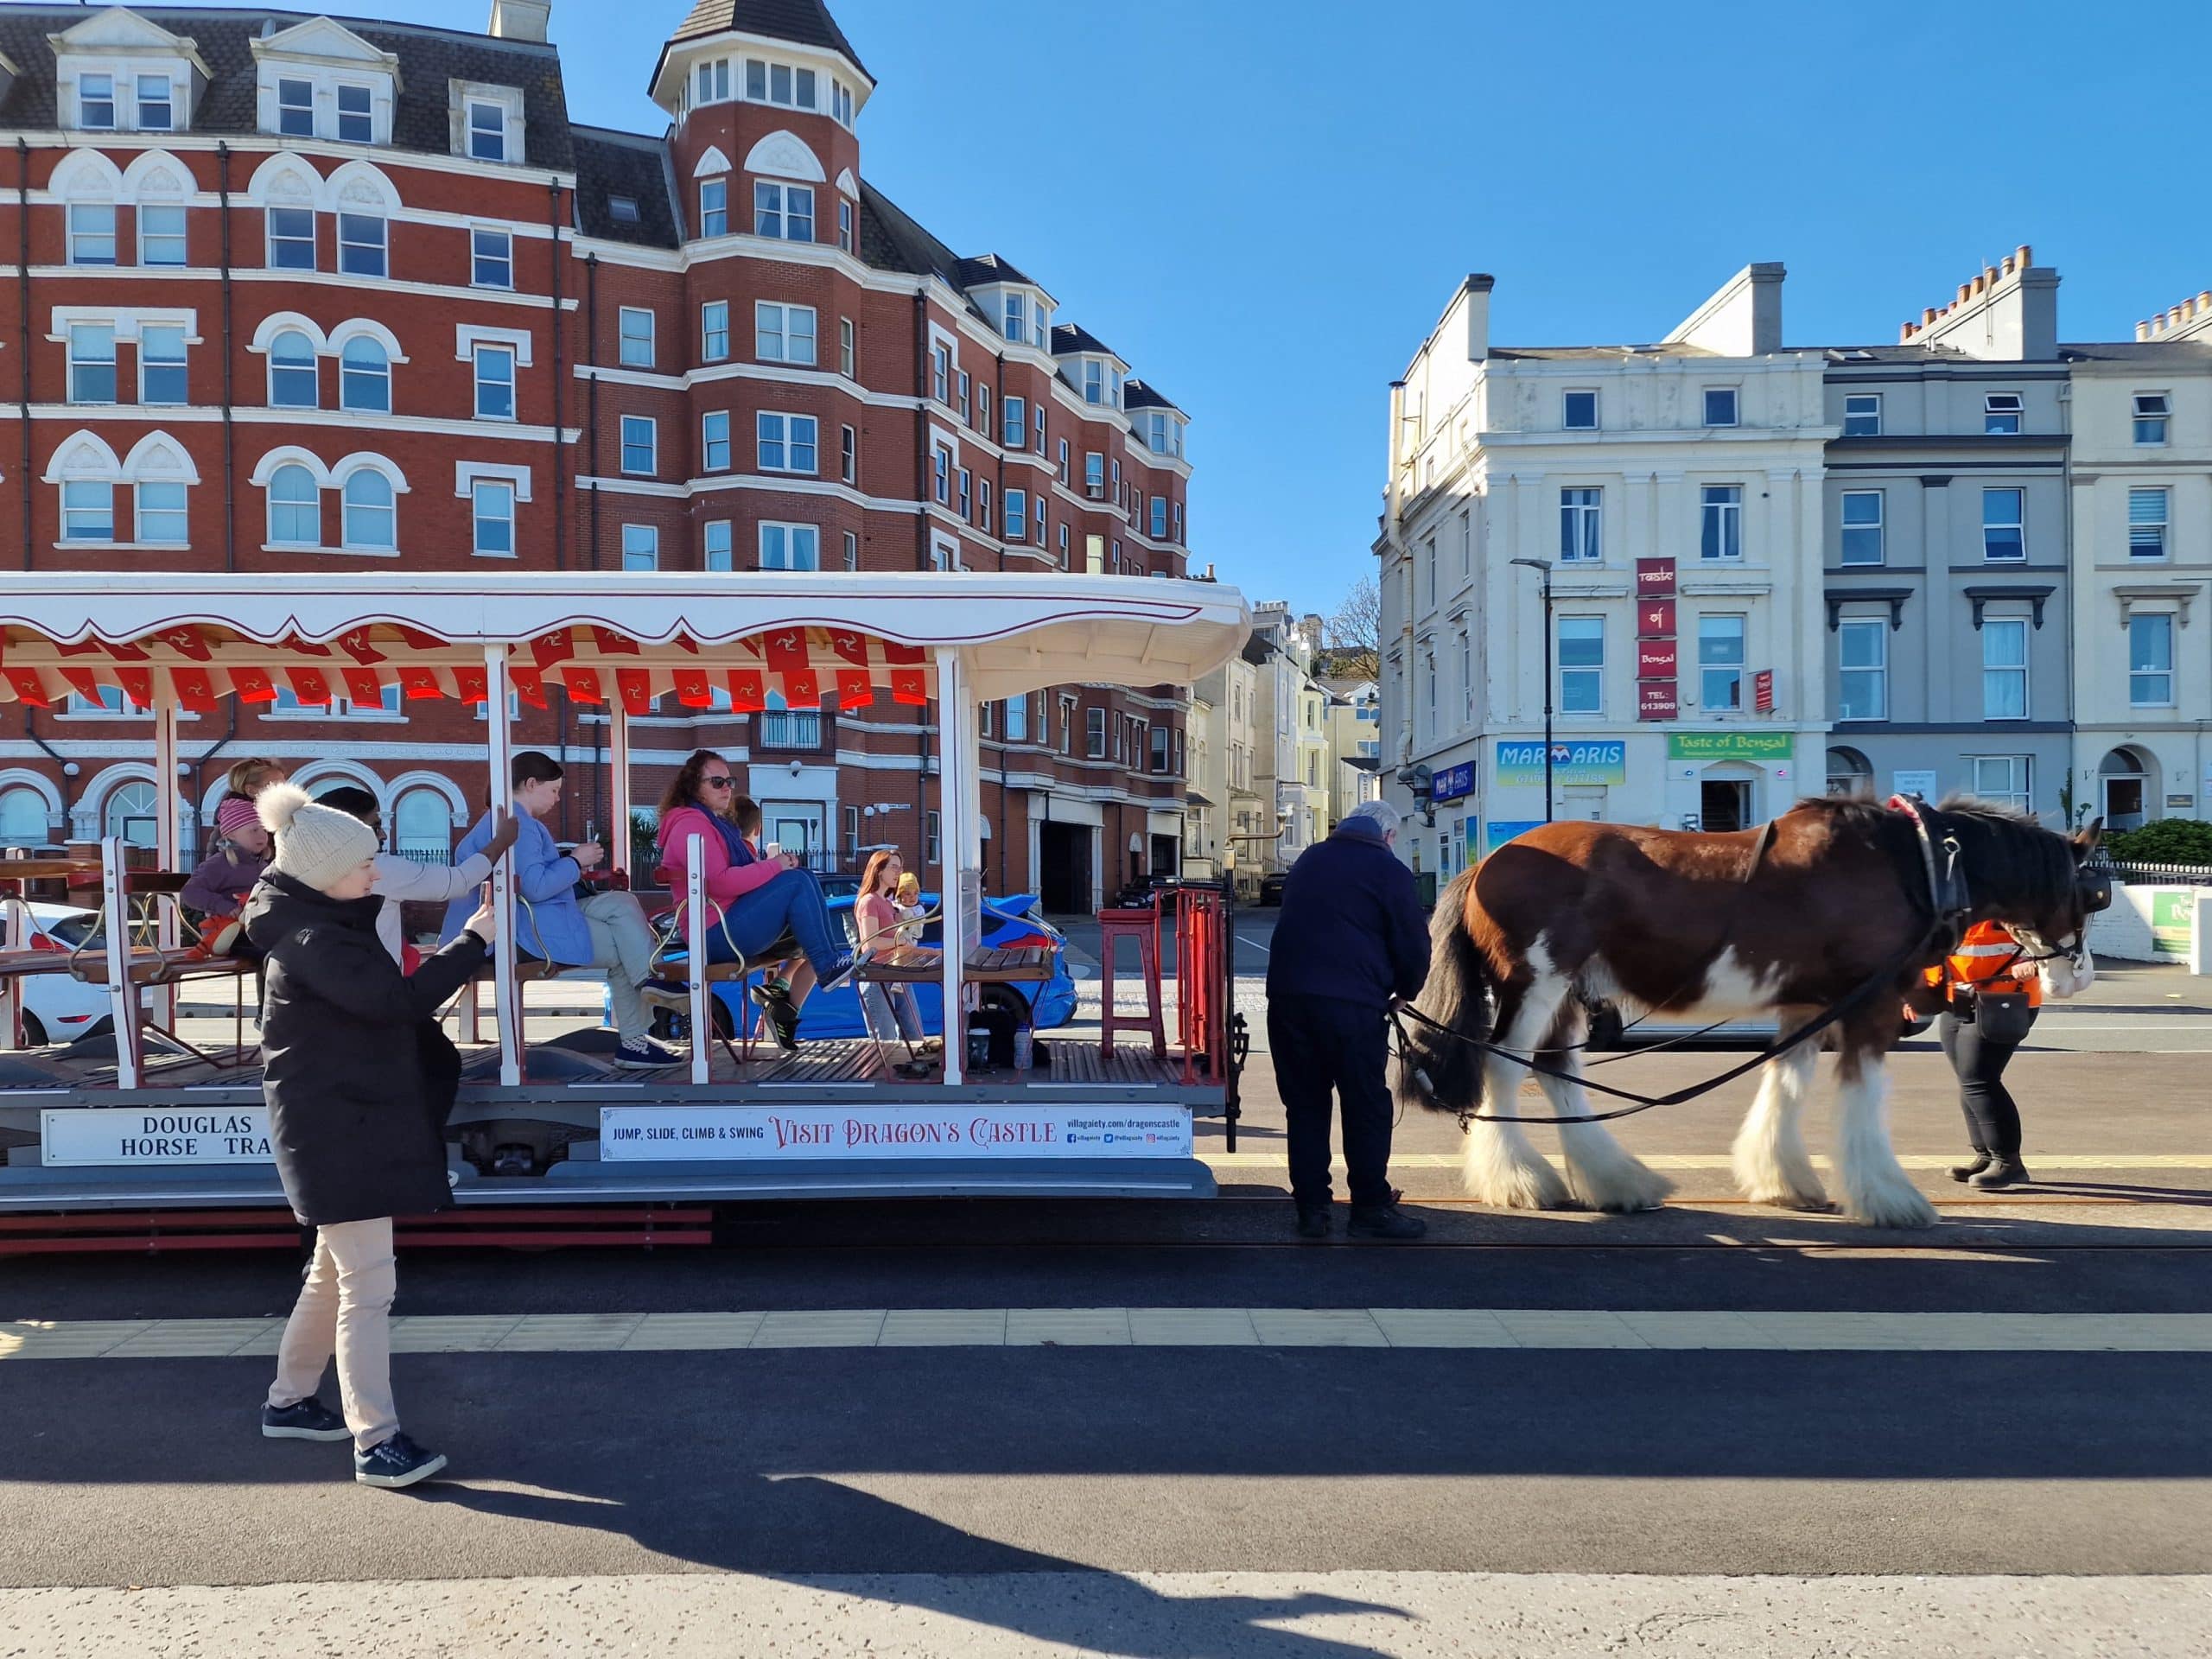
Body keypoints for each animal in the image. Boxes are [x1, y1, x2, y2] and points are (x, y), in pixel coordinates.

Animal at [1397, 800, 2106, 1230]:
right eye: (2094, 891)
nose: (2077, 975)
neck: (1917, 863)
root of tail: (1485, 862)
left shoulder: (1808, 1004)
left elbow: (1786, 1083)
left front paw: (1783, 1178)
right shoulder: (1869, 1005)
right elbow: (1862, 1095)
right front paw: (1887, 1195)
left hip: (1571, 990)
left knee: (1555, 1071)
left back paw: (1614, 1178)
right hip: (1536, 982)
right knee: (1505, 1070)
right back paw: (1518, 1180)